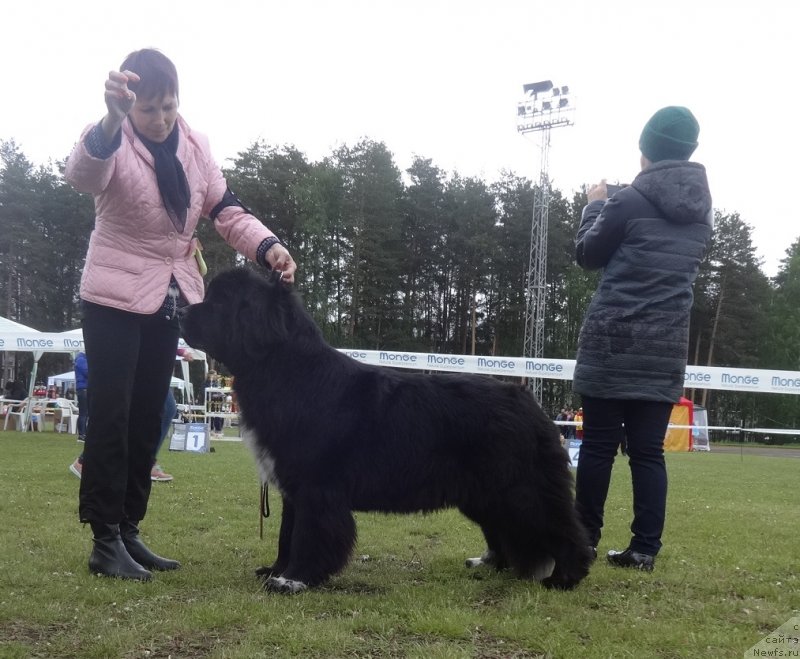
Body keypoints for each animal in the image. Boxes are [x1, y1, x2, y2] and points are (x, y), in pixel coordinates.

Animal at [183, 268, 592, 592]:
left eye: (219, 302)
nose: (182, 311)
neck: (287, 371)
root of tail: (529, 401)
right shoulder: (293, 488)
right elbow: (287, 534)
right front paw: (276, 570)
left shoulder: (317, 487)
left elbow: (309, 534)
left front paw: (293, 580)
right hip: (485, 493)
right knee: (507, 529)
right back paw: (492, 564)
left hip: (520, 488)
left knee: (562, 528)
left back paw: (565, 578)